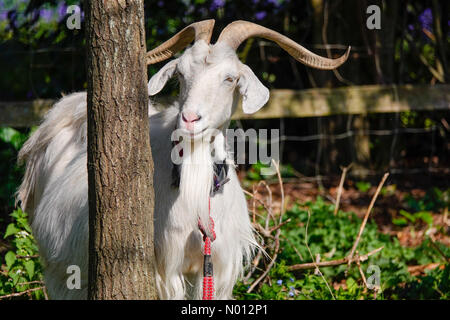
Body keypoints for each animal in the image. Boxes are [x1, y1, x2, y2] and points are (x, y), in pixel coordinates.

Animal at [16, 20, 348, 300]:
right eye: (181, 74)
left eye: (230, 78)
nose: (189, 119)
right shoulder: (167, 269)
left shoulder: (215, 268)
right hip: (60, 267)